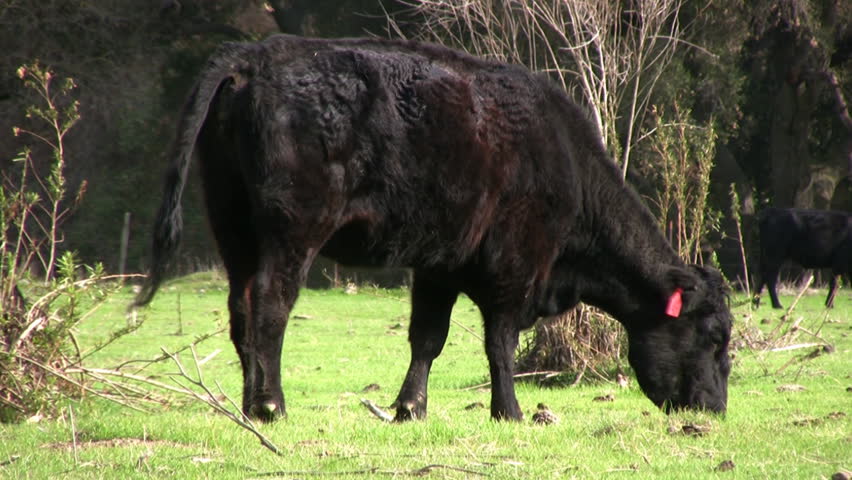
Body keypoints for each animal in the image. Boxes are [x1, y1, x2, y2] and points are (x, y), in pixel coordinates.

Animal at [133, 34, 732, 422]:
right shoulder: (514, 265)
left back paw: (245, 405)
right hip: (292, 233)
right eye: (714, 336)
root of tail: (258, 54)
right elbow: (499, 342)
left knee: (239, 310)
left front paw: (409, 408)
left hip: (232, 227)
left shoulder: (440, 264)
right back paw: (272, 406)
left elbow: (428, 337)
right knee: (270, 308)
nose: (716, 409)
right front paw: (510, 412)